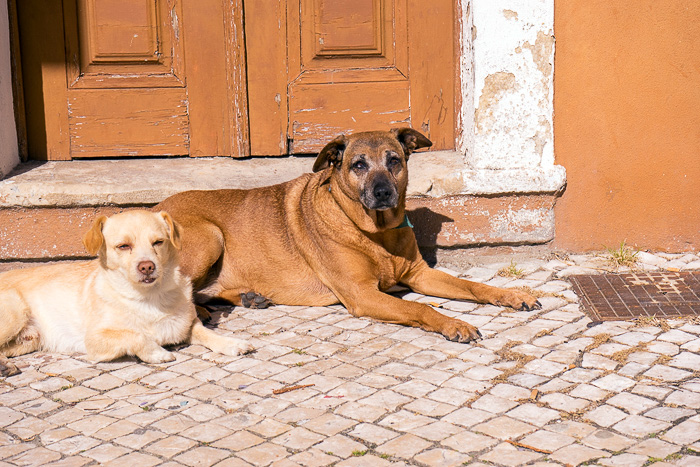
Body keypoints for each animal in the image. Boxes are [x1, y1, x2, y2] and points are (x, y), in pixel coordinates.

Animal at [0, 210, 252, 378]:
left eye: (158, 242)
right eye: (123, 246)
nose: (147, 266)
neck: (148, 298)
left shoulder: (186, 326)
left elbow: (208, 333)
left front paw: (232, 343)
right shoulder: (95, 340)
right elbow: (136, 335)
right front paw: (157, 353)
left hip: (28, 341)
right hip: (15, 312)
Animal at [156, 130, 540, 342]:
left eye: (394, 160)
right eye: (358, 164)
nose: (383, 192)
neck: (377, 233)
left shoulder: (421, 274)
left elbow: (474, 286)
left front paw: (512, 295)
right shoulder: (361, 294)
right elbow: (421, 308)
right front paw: (453, 323)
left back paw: (248, 298)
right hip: (210, 235)